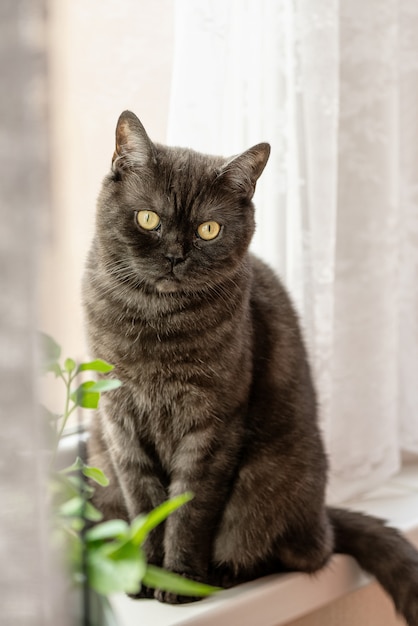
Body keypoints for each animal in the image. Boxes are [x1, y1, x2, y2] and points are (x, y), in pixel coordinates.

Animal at [83, 109, 418, 620]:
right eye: (148, 219)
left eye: (208, 230)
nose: (175, 256)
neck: (156, 322)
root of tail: (322, 516)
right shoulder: (119, 420)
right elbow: (145, 504)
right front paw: (146, 576)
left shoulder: (211, 425)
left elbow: (188, 510)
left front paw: (179, 580)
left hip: (268, 485)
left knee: (303, 555)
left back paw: (219, 575)